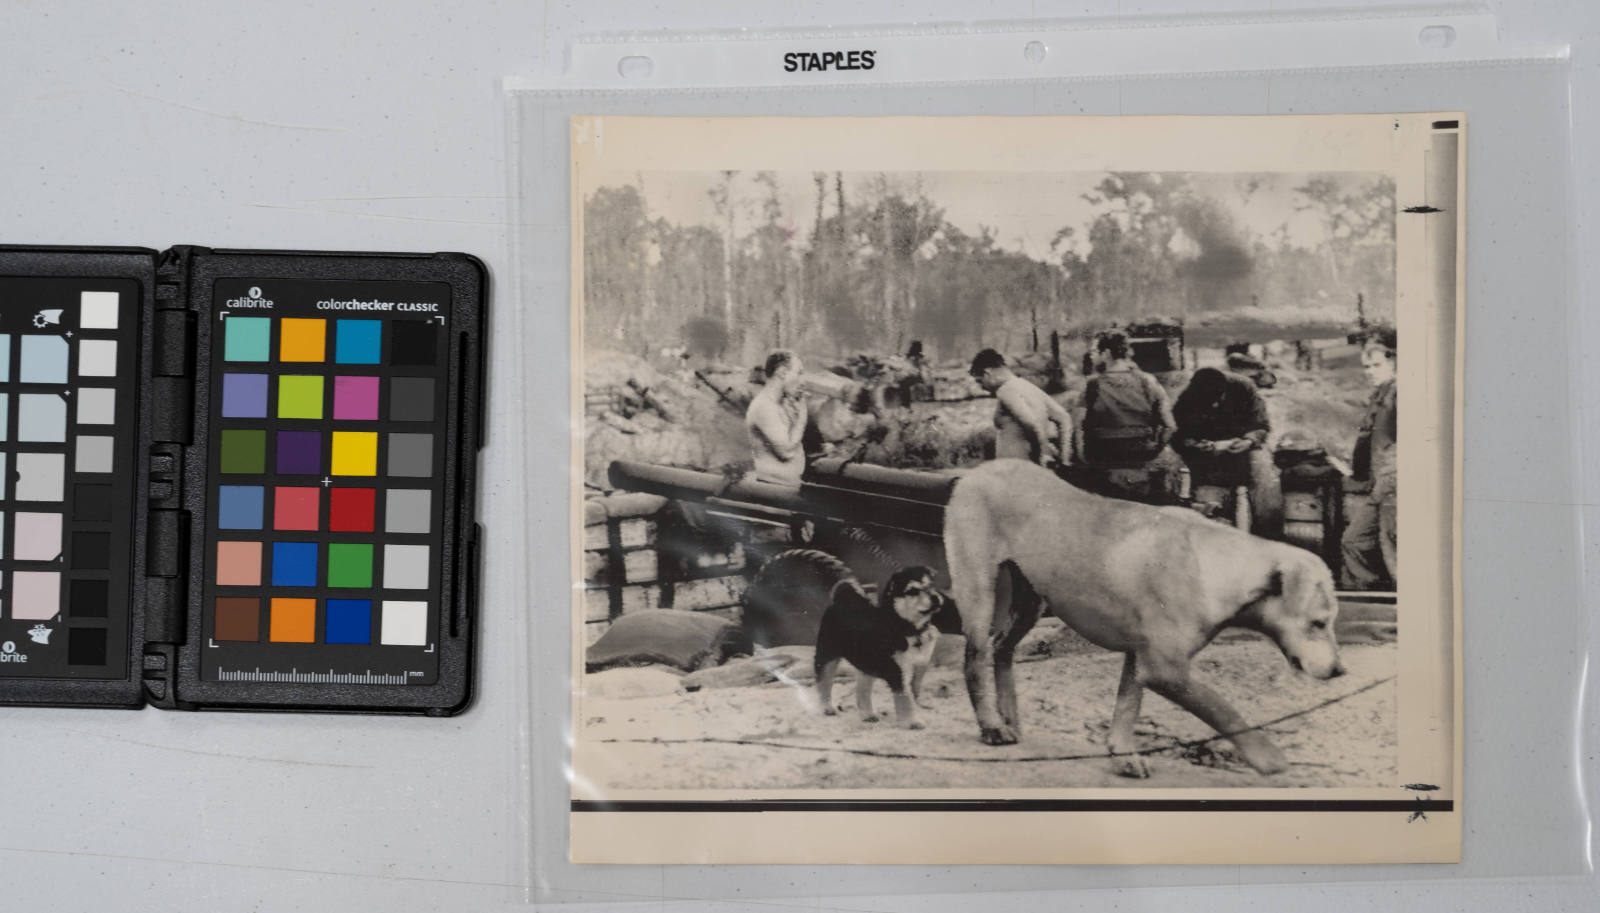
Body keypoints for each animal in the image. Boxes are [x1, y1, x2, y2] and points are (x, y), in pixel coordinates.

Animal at [819, 566, 953, 729]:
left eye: (930, 585)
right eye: (913, 591)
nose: (934, 597)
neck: (907, 627)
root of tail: (840, 600)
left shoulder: (919, 666)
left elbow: (913, 693)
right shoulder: (898, 671)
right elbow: (905, 698)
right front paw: (911, 722)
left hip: (868, 664)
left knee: (862, 689)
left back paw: (868, 715)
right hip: (827, 655)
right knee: (824, 681)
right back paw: (827, 708)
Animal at [940, 460, 1344, 773]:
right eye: (1318, 623)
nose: (1340, 671)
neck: (1218, 565)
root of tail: (977, 471)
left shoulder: (1140, 658)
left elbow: (1127, 705)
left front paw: (1122, 752)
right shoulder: (1165, 669)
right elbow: (1220, 708)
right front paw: (1267, 757)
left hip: (1032, 598)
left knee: (1002, 649)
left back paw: (1009, 716)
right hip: (979, 590)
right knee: (975, 657)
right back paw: (991, 726)